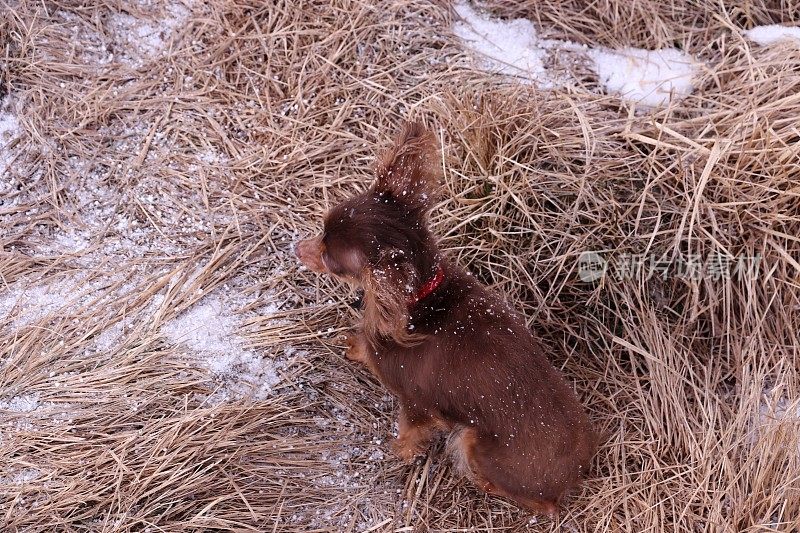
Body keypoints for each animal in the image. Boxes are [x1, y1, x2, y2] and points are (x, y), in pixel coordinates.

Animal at [296, 121, 596, 516]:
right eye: (323, 228)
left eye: (331, 257)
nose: (296, 248)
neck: (420, 299)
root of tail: (576, 474)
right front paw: (358, 346)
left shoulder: (416, 404)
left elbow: (409, 433)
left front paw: (398, 453)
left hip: (473, 439)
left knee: (531, 500)